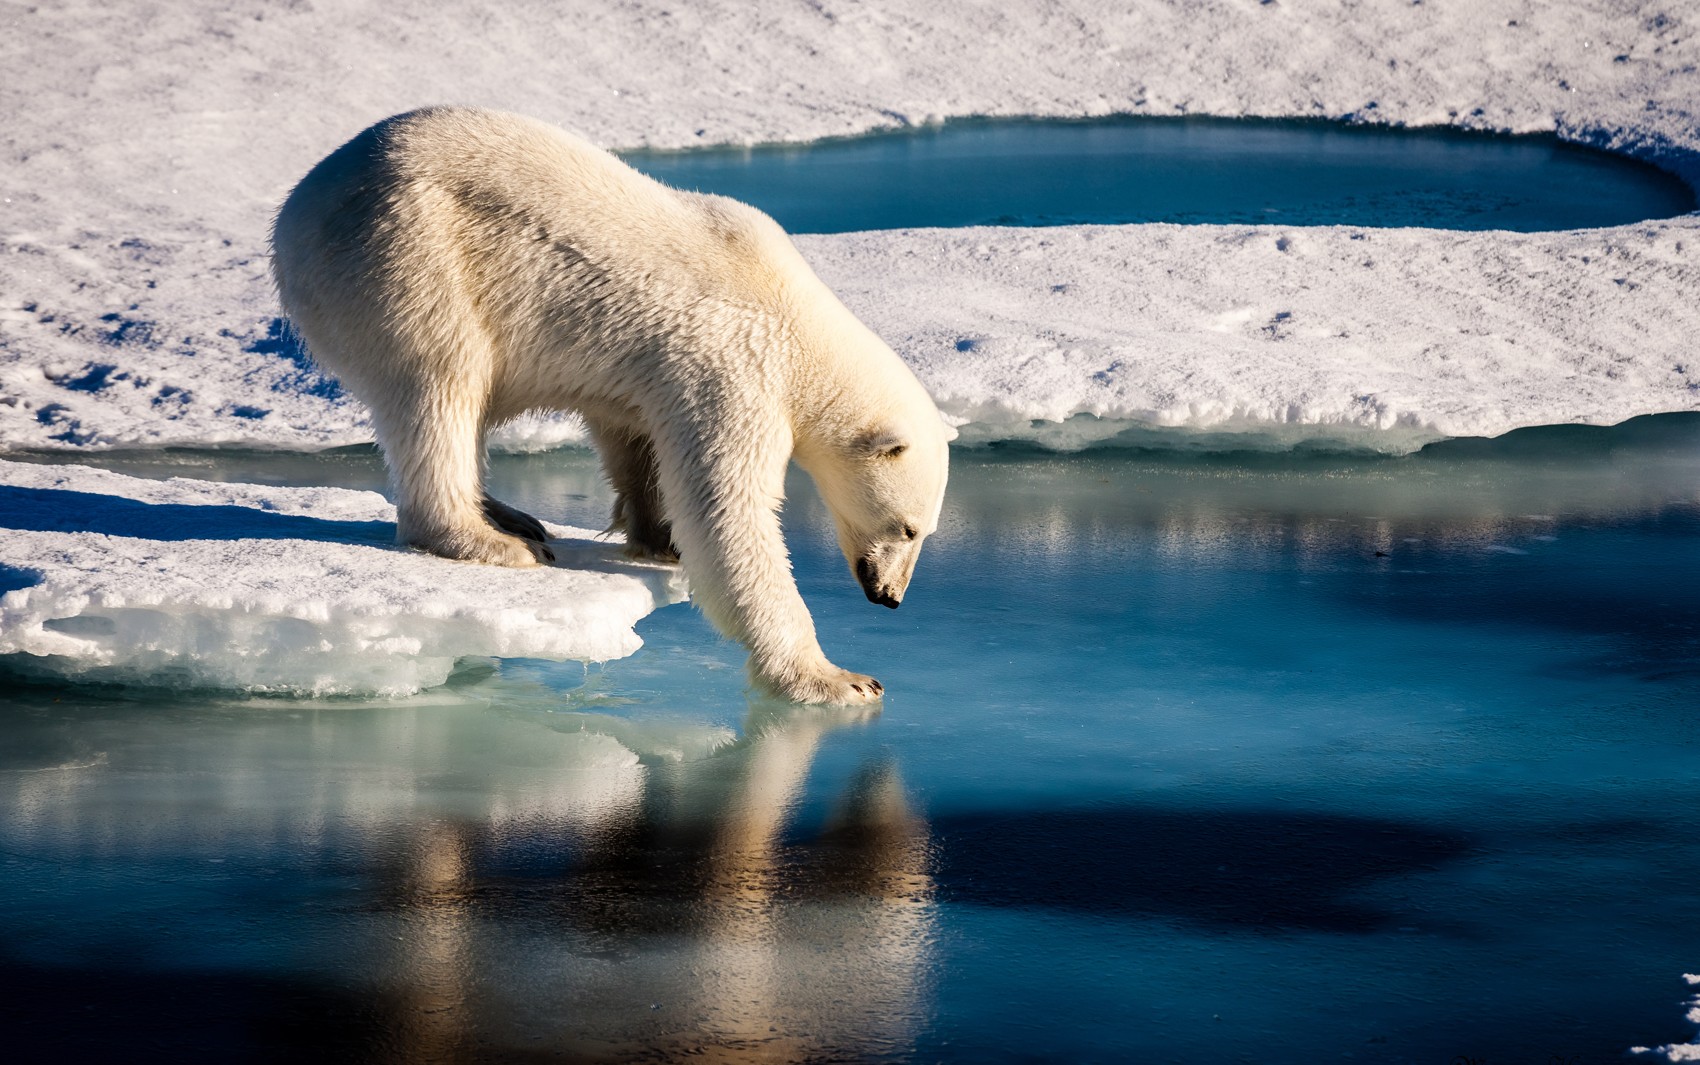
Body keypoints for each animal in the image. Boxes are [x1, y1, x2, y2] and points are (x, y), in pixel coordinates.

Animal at [272, 105, 952, 704]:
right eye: (908, 527)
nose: (889, 596)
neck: (798, 323)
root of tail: (297, 207)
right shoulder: (735, 368)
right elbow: (729, 514)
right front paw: (839, 679)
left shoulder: (655, 374)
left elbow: (635, 438)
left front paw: (658, 538)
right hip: (408, 255)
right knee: (440, 383)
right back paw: (492, 540)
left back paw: (510, 515)